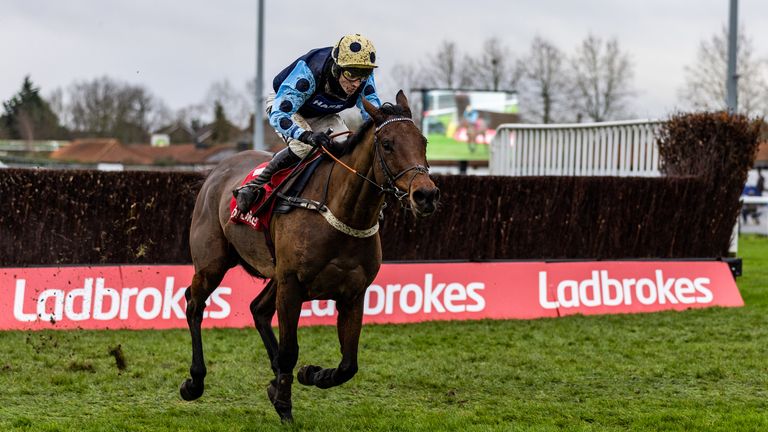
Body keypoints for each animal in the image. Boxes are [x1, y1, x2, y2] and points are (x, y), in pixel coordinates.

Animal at [179, 91, 438, 422]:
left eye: (424, 142)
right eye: (387, 144)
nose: (426, 195)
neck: (341, 212)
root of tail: (216, 173)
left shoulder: (353, 294)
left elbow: (348, 365)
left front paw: (311, 375)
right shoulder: (292, 286)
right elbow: (290, 351)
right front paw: (284, 405)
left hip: (274, 274)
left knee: (257, 309)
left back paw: (275, 379)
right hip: (212, 264)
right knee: (194, 304)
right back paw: (195, 381)